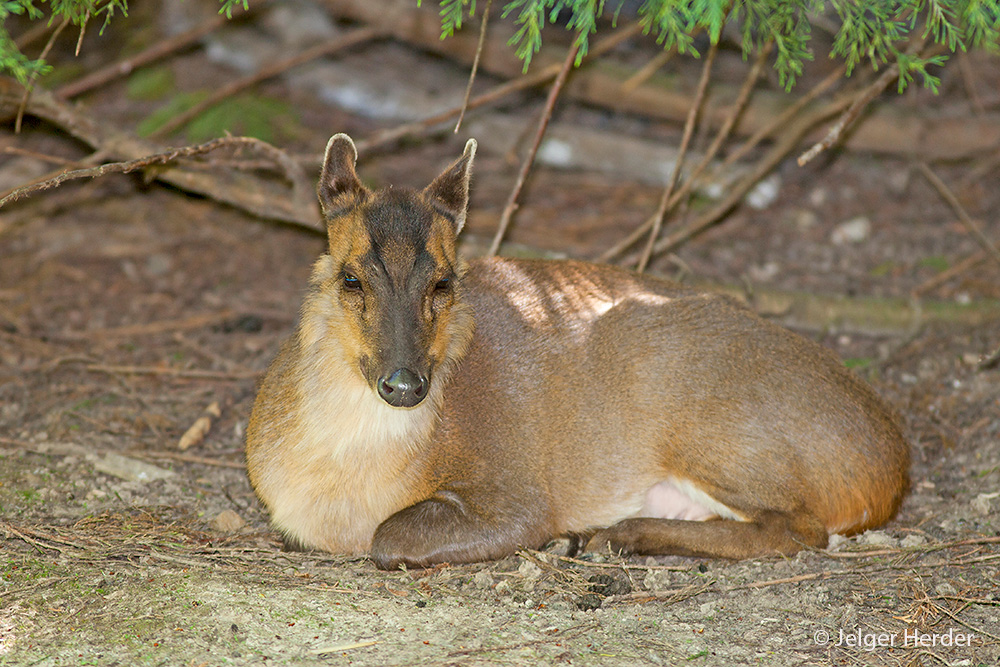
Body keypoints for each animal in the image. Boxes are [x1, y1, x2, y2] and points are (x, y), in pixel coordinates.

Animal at [246, 134, 912, 568]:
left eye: (443, 282)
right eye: (350, 278)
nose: (405, 384)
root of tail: (890, 466)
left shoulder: (518, 491)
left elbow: (392, 538)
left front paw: (560, 537)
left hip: (723, 430)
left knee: (800, 528)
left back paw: (611, 536)